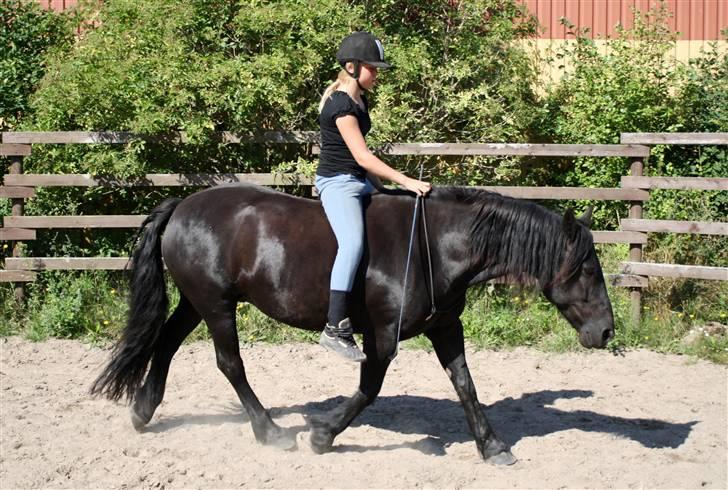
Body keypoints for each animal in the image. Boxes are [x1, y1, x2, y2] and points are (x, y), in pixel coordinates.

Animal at [91, 183, 615, 465]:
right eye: (588, 269)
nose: (607, 332)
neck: (434, 246)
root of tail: (181, 206)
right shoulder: (381, 335)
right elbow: (369, 388)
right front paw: (322, 435)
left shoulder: (446, 327)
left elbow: (465, 384)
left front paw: (493, 447)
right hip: (217, 305)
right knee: (229, 364)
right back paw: (272, 432)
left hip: (198, 301)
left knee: (166, 344)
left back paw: (143, 410)